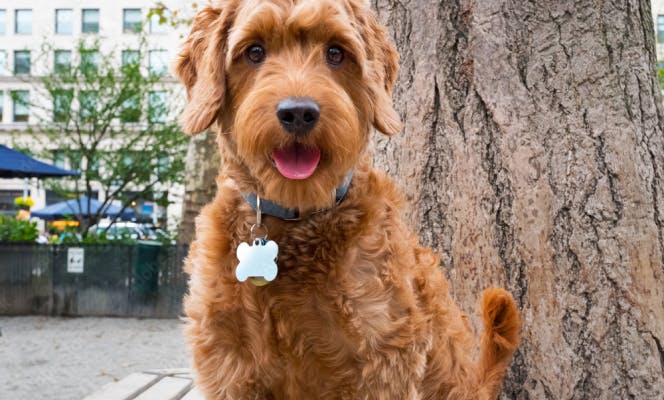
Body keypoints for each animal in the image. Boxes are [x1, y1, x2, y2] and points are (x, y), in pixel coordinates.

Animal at [175, 1, 520, 398]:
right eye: (255, 51)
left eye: (336, 53)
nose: (298, 112)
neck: (295, 222)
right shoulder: (229, 361)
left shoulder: (383, 359)